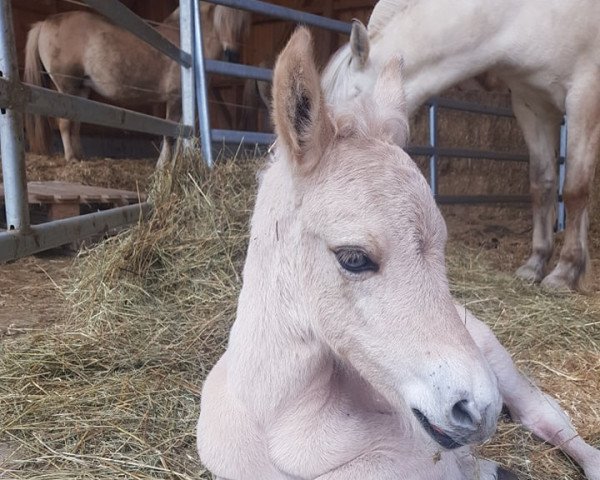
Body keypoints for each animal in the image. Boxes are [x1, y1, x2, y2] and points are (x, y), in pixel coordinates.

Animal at [25, 4, 251, 167]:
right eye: (220, 17)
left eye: (242, 20)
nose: (232, 54)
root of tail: (45, 22)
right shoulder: (175, 99)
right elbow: (171, 136)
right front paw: (162, 166)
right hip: (67, 87)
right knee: (64, 123)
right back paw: (71, 158)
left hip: (81, 90)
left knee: (76, 123)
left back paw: (81, 156)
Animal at [322, 0, 600, 292]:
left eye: (353, 99)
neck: (526, 14)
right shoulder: (532, 105)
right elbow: (542, 185)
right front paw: (536, 264)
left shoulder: (583, 96)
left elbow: (574, 190)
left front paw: (566, 271)